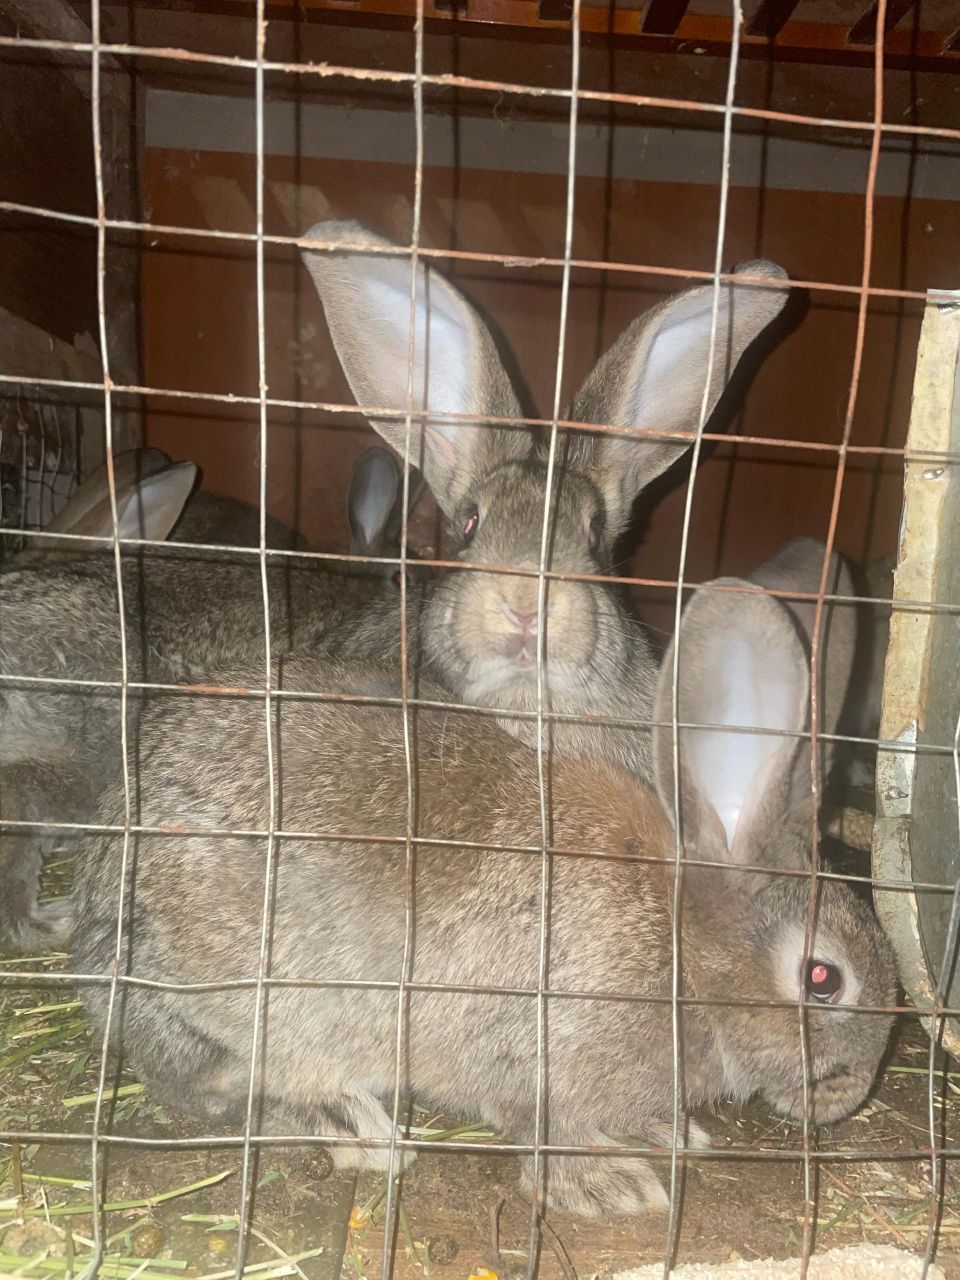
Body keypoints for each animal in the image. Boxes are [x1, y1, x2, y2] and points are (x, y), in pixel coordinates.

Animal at [71, 576, 901, 1213]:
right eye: (822, 979)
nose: (851, 1094)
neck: (682, 951)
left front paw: (672, 1133)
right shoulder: (531, 1055)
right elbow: (537, 1125)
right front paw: (610, 1185)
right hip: (233, 993)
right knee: (198, 1080)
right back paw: (350, 1125)